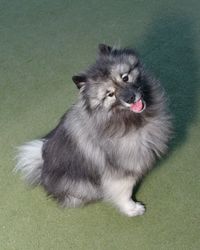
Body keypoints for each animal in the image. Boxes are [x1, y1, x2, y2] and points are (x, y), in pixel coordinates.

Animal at [15, 44, 172, 216]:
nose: (131, 98)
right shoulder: (119, 171)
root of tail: (42, 166)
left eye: (125, 77)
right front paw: (132, 209)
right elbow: (124, 192)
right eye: (110, 94)